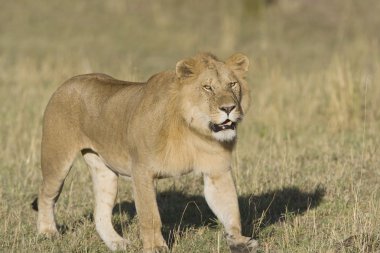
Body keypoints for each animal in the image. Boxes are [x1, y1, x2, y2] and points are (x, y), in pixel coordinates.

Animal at [35, 52, 258, 252]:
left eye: (232, 84)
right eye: (207, 87)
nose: (228, 108)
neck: (193, 129)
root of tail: (67, 82)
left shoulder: (217, 170)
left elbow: (230, 208)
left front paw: (239, 241)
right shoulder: (142, 171)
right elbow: (150, 216)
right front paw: (156, 247)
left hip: (105, 172)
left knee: (100, 212)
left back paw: (118, 244)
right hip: (57, 159)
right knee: (46, 194)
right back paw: (48, 233)